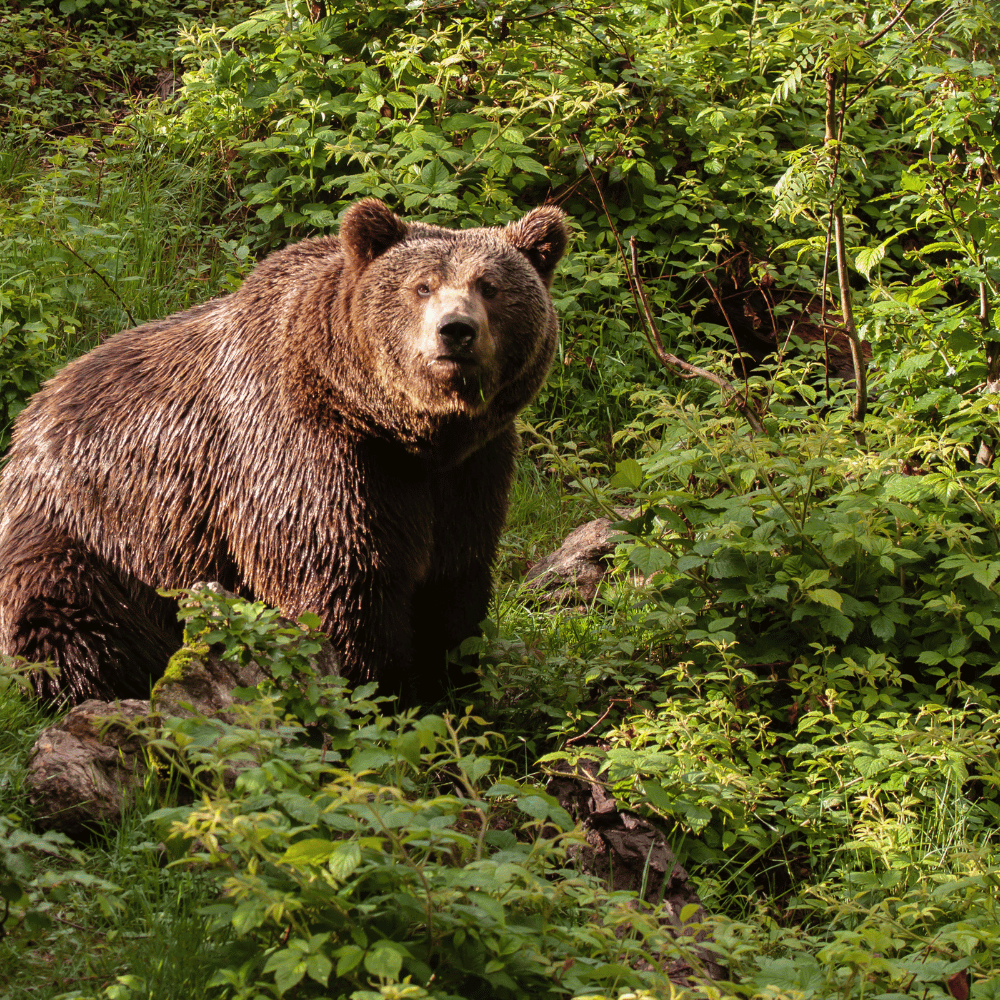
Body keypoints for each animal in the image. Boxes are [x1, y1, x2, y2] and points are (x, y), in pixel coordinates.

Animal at [0, 198, 569, 707]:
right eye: (422, 285)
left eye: (490, 286)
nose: (456, 331)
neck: (404, 430)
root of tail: (30, 416)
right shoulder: (309, 454)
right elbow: (339, 586)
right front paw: (377, 690)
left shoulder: (470, 470)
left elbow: (453, 585)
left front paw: (452, 691)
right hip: (91, 533)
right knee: (66, 619)